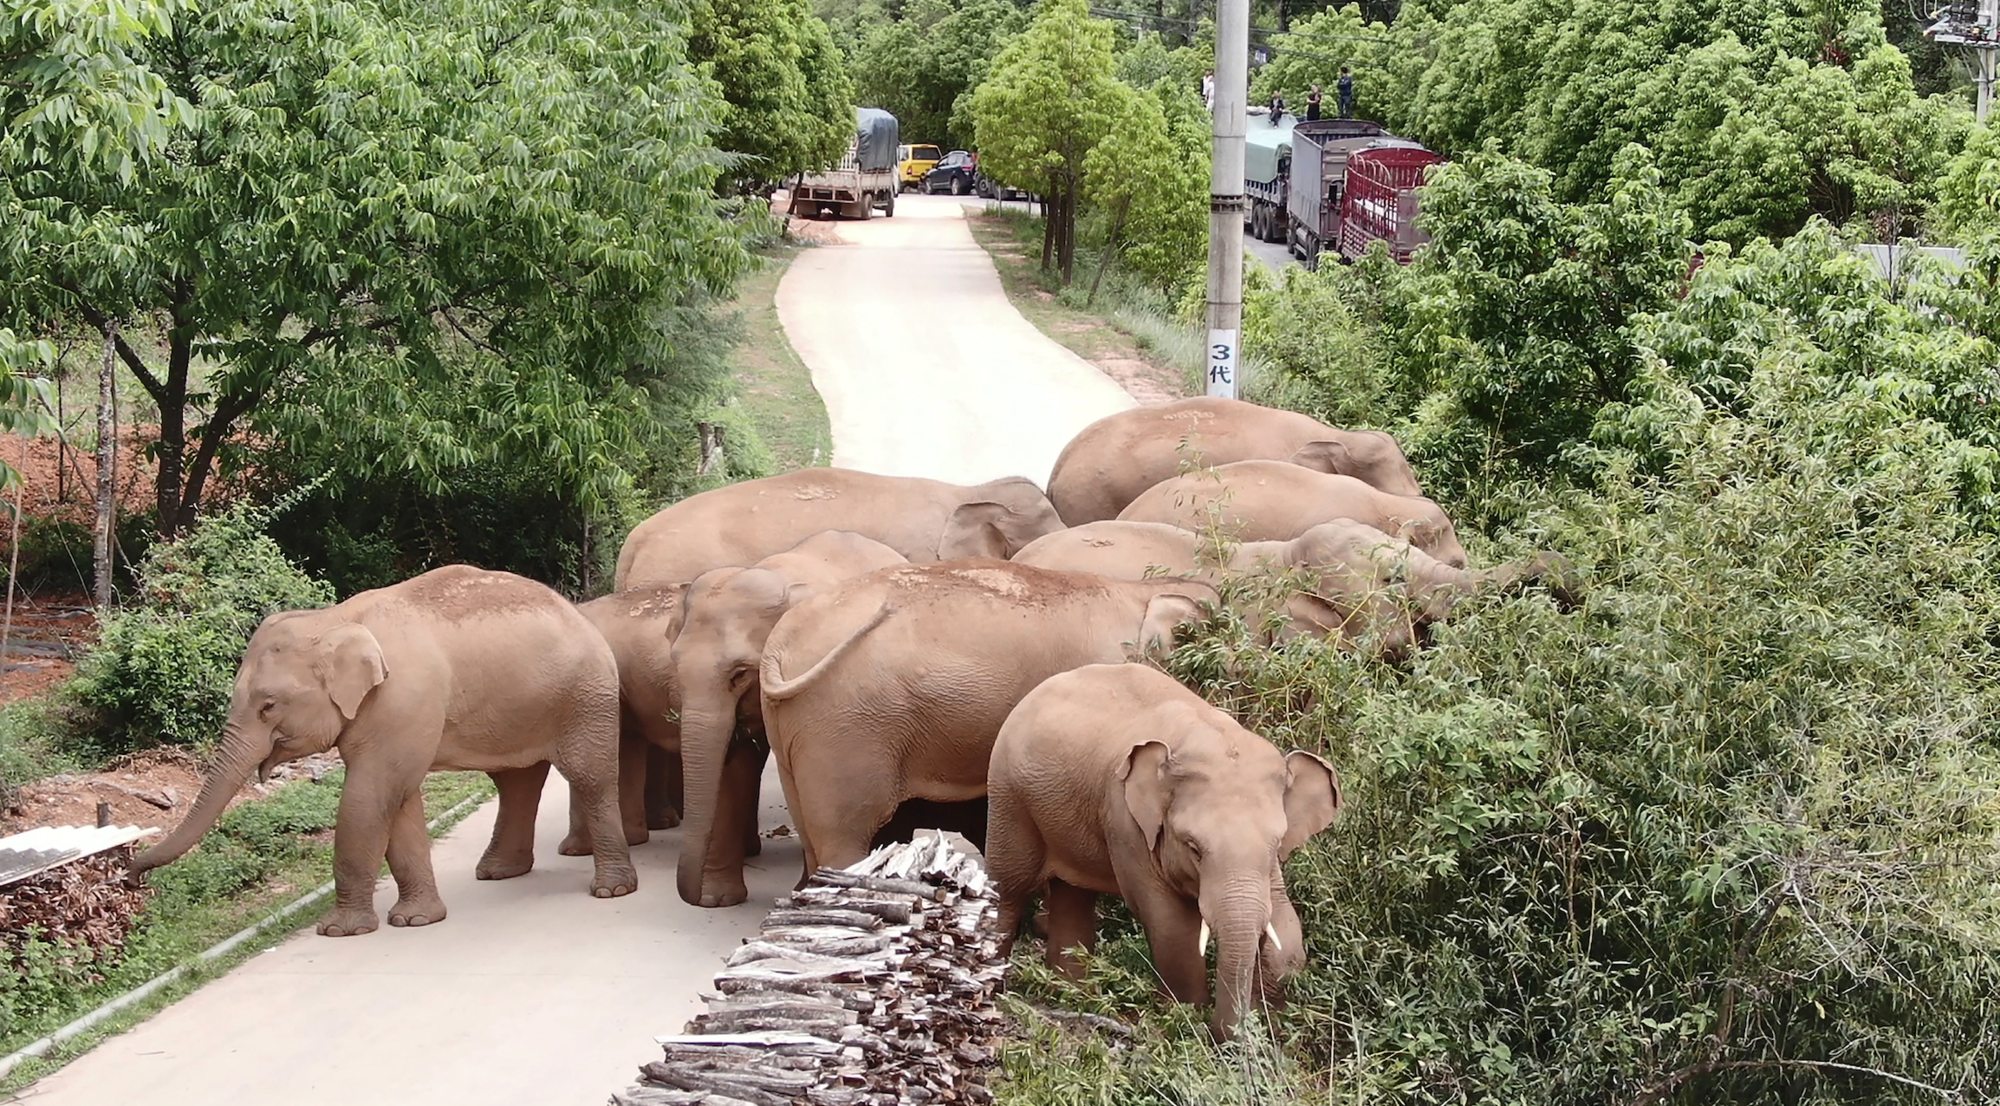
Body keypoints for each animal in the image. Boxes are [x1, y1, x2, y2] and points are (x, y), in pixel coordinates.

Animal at [132, 566, 635, 937]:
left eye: (268, 706)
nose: (132, 875)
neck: (333, 618)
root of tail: (579, 612)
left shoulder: (400, 700)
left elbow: (370, 795)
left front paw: (341, 931)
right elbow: (398, 799)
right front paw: (416, 921)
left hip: (585, 695)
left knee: (589, 777)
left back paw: (612, 891)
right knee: (517, 782)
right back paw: (498, 874)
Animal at [670, 530, 909, 907]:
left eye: (740, 674)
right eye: (674, 664)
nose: (692, 897)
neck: (775, 573)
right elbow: (733, 765)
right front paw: (718, 901)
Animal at [986, 663, 1341, 1039]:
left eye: (1276, 845)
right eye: (1194, 847)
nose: (1230, 1036)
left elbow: (1286, 927)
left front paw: (1272, 1015)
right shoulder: (1125, 821)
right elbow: (1173, 926)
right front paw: (1185, 1018)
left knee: (1073, 895)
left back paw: (1074, 994)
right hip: (1008, 795)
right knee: (1010, 886)